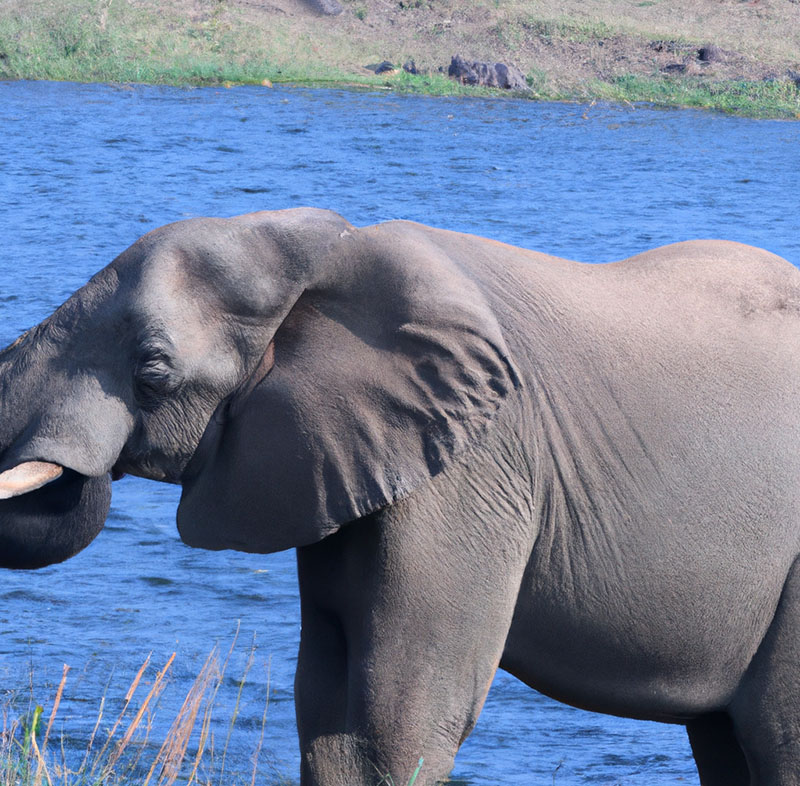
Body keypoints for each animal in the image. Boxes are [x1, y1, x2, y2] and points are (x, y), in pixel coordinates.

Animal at [1, 205, 800, 780]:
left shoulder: (474, 469)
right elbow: (327, 702)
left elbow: (395, 711)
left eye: (154, 368)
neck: (318, 248)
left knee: (775, 730)